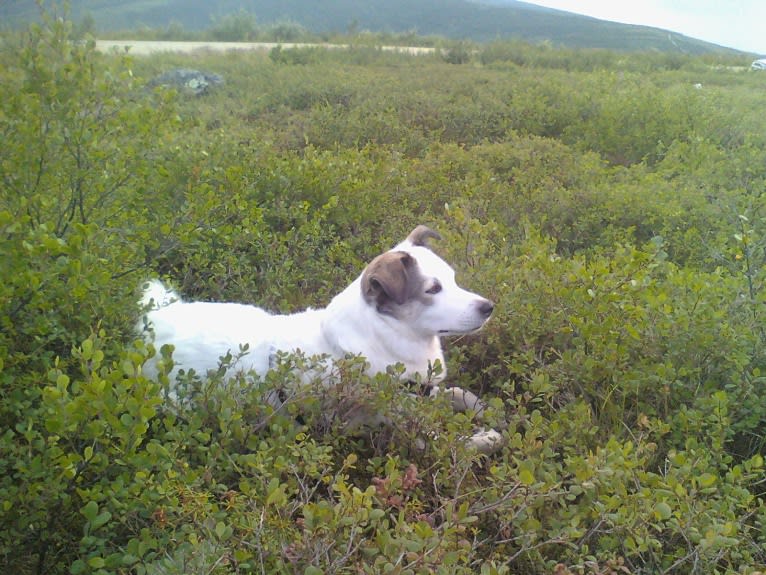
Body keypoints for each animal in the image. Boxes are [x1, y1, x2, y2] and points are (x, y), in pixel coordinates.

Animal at [140, 225, 504, 454]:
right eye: (432, 289)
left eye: (453, 279)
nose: (489, 307)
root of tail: (159, 318)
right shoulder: (407, 425)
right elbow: (459, 442)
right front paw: (486, 435)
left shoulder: (423, 391)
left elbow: (460, 393)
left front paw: (488, 409)